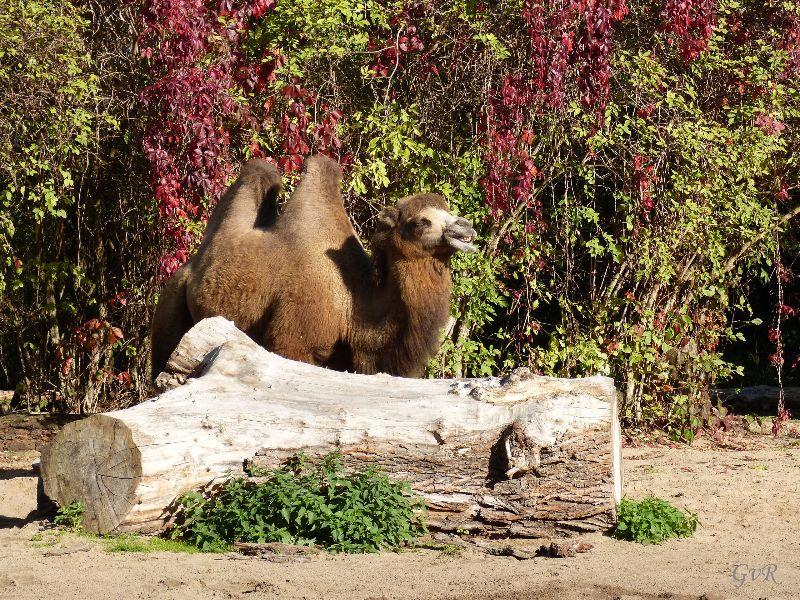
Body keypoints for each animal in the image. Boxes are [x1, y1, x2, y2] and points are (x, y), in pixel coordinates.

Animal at [152, 156, 476, 380]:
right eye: (420, 222)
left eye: (447, 211)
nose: (466, 230)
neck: (351, 307)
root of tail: (187, 268)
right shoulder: (294, 344)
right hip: (169, 310)